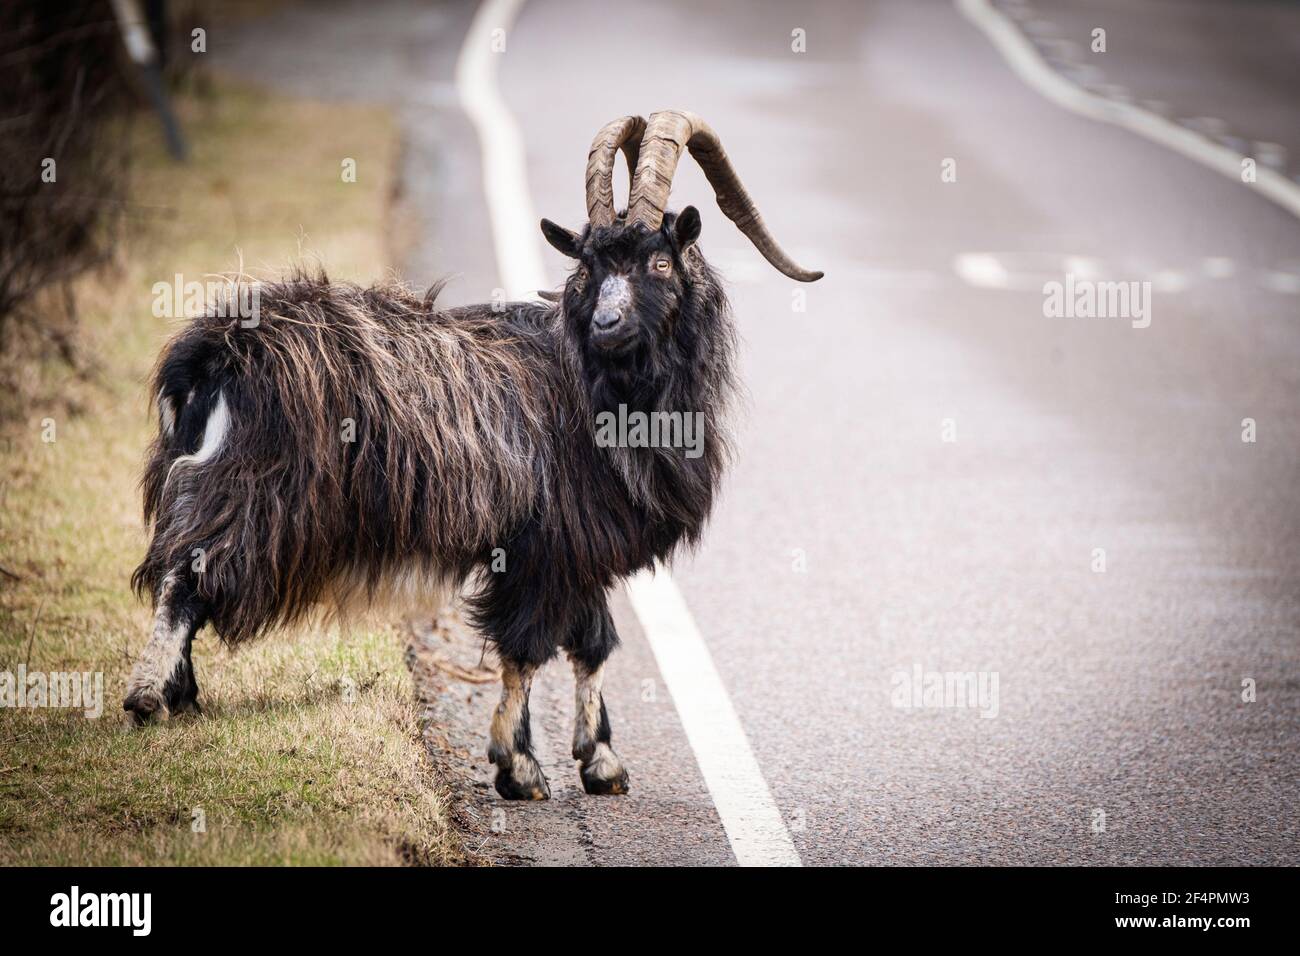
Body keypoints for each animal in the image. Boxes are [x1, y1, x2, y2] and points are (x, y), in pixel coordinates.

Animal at [129, 110, 821, 801]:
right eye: (588, 268)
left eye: (658, 260)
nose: (605, 324)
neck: (585, 378)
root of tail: (213, 353)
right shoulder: (543, 547)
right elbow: (527, 649)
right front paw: (520, 767)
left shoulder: (578, 550)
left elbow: (593, 643)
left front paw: (600, 761)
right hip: (255, 492)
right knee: (186, 578)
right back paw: (146, 698)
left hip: (209, 483)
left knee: (179, 569)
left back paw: (182, 695)